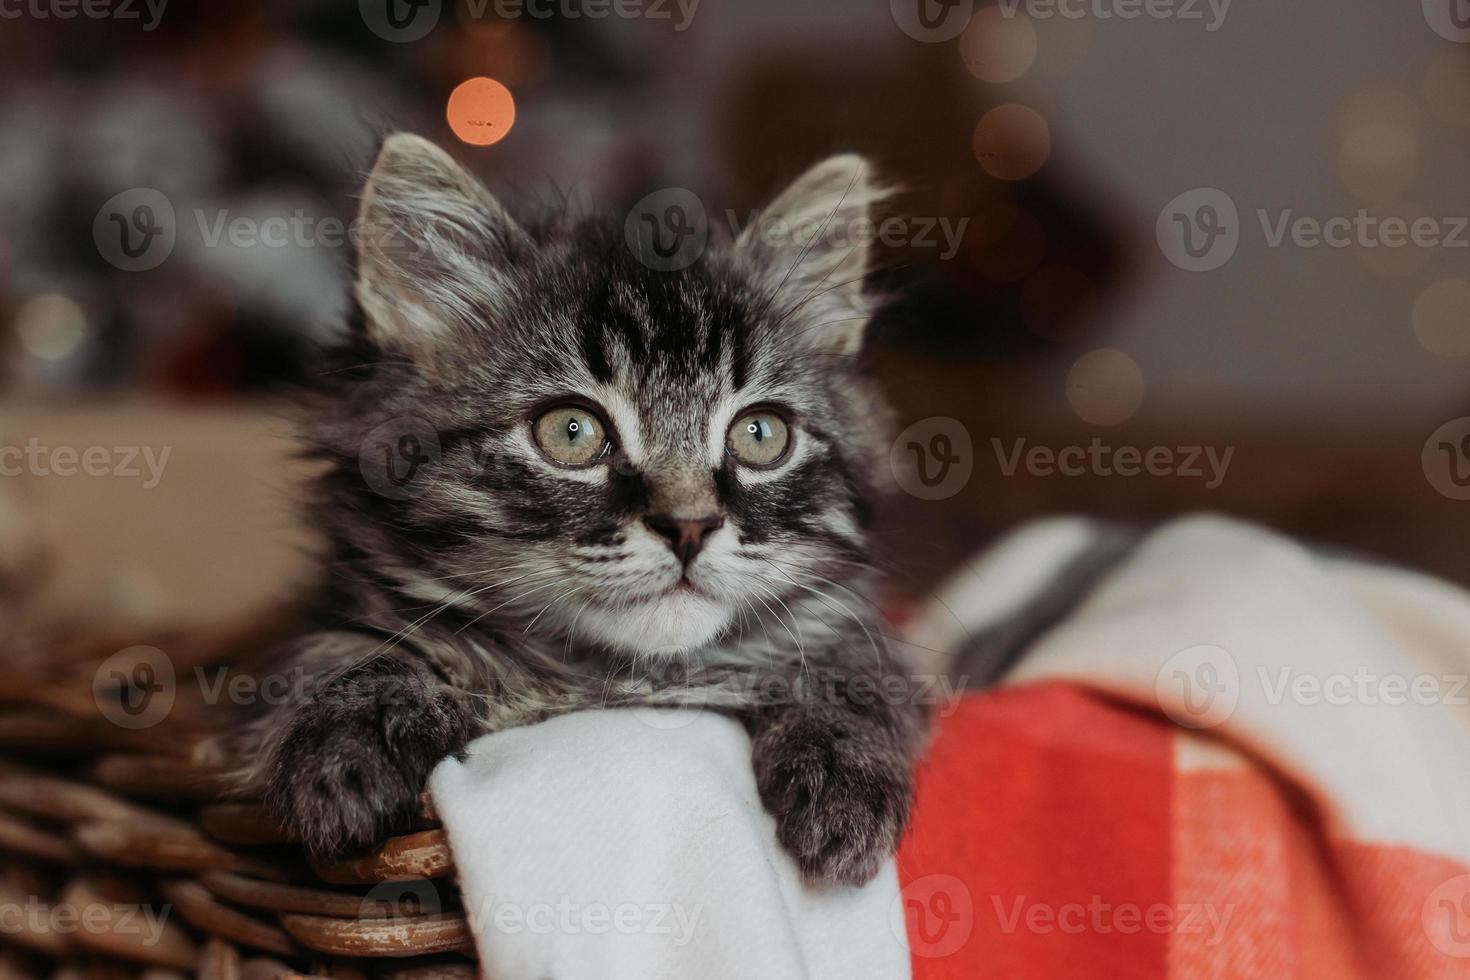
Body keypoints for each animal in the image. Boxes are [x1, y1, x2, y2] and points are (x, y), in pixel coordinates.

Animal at [238, 132, 929, 887]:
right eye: (571, 432)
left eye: (760, 435)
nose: (690, 527)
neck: (612, 685)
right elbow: (336, 654)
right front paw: (346, 753)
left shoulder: (859, 638)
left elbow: (859, 673)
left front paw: (845, 774)